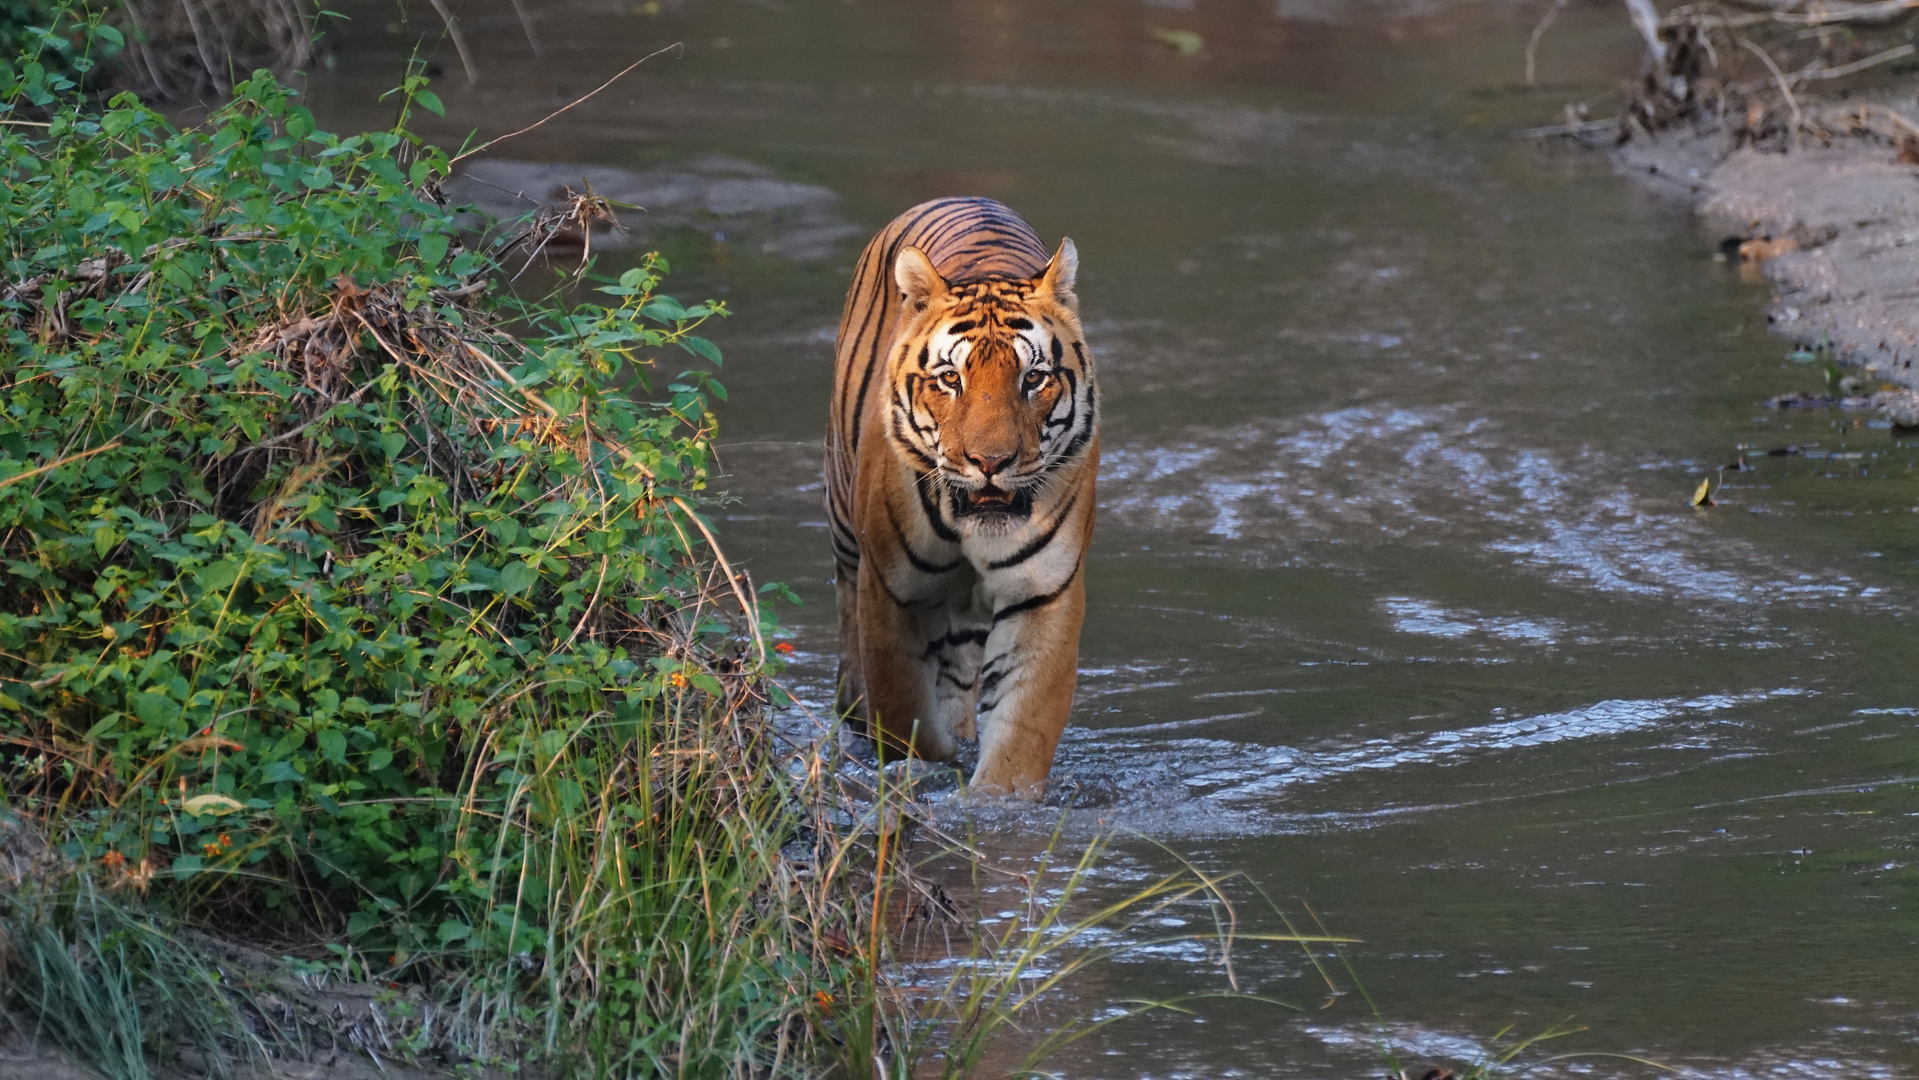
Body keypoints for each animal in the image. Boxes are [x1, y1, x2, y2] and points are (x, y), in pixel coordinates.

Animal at [821, 198, 1097, 798]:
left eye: (1033, 379)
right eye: (951, 379)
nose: (991, 462)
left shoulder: (1043, 594)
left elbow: (1019, 737)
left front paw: (992, 802)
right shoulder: (890, 590)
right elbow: (906, 716)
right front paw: (925, 772)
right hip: (847, 537)